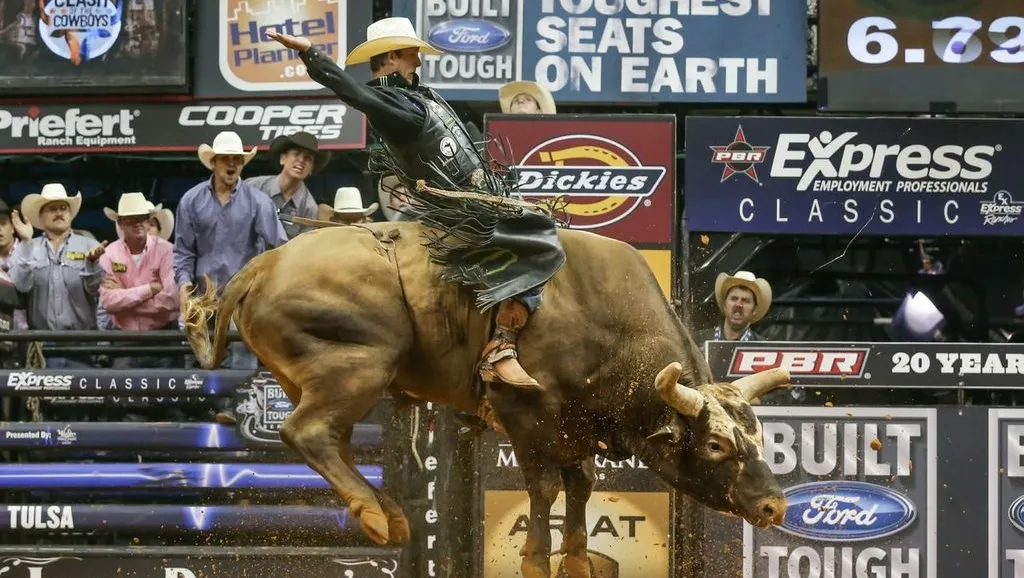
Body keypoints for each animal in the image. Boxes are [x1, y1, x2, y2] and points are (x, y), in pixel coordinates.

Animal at [182, 222, 790, 578]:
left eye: (758, 437)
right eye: (715, 445)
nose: (773, 507)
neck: (602, 323)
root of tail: (263, 264)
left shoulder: (576, 427)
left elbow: (581, 484)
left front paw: (574, 560)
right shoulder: (526, 418)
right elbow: (544, 488)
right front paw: (535, 560)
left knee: (334, 439)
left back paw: (389, 512)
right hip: (359, 365)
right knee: (307, 432)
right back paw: (376, 517)